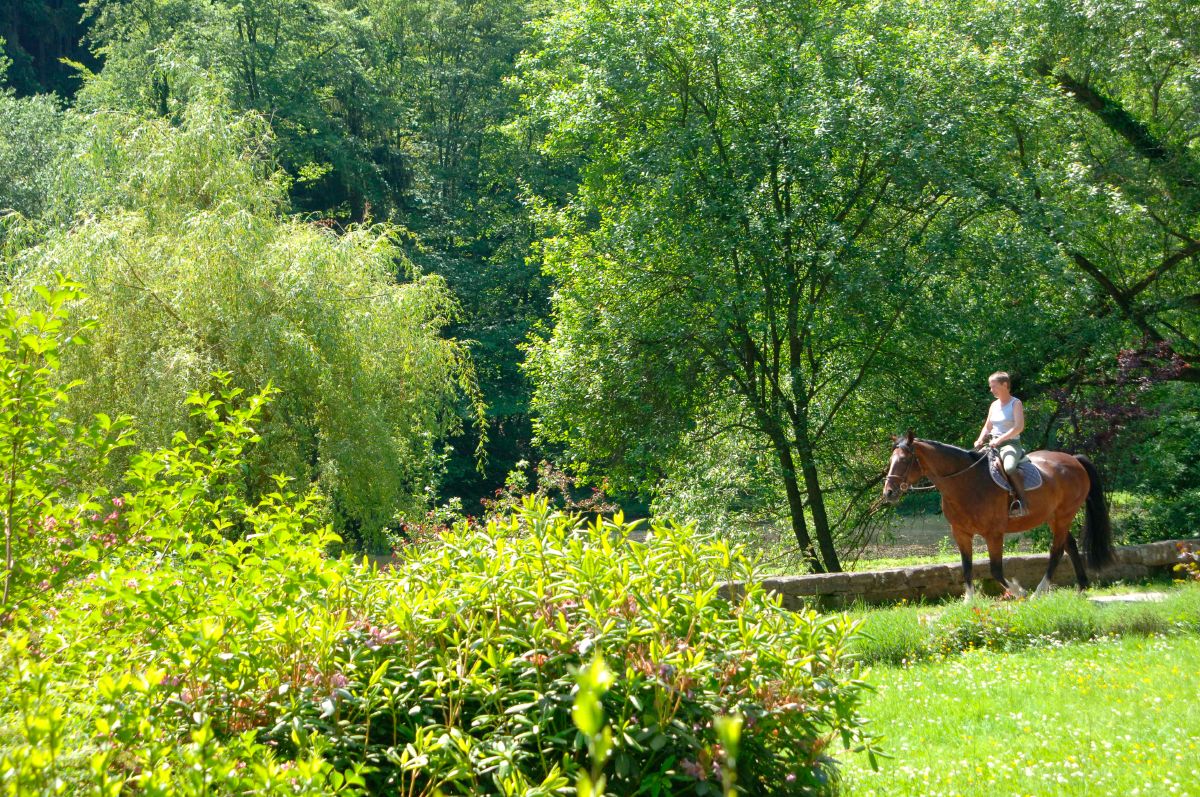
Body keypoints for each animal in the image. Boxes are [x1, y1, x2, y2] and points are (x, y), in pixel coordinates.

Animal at [883, 429, 1113, 597]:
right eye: (890, 460)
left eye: (904, 461)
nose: (889, 492)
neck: (966, 482)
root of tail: (1074, 460)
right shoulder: (961, 533)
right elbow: (966, 567)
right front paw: (969, 601)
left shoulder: (993, 533)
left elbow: (995, 569)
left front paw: (1018, 591)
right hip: (1054, 517)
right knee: (1070, 546)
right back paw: (1081, 587)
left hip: (1064, 516)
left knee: (1056, 552)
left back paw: (1038, 592)